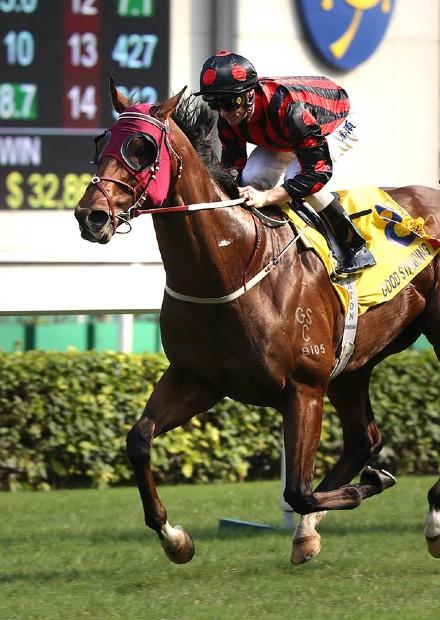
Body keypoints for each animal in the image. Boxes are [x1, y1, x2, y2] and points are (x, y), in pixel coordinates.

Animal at [75, 82, 440, 568]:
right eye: (100, 145)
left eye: (142, 149)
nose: (90, 216)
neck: (234, 263)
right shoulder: (197, 379)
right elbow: (139, 439)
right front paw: (174, 538)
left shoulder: (304, 388)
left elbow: (298, 491)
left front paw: (374, 482)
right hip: (353, 364)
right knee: (363, 439)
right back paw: (313, 530)